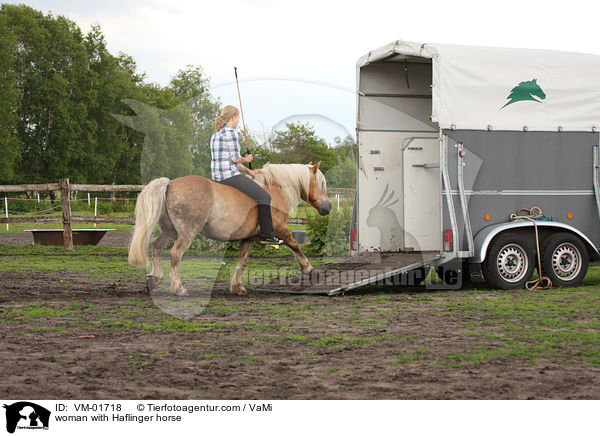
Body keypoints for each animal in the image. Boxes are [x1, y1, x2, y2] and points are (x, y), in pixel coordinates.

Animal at [128, 163, 330, 296]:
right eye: (321, 184)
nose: (328, 207)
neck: (275, 188)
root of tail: (170, 183)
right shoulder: (280, 229)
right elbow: (296, 245)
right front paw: (308, 268)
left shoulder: (248, 238)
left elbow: (243, 261)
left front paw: (237, 287)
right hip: (187, 233)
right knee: (175, 255)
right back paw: (178, 288)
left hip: (170, 231)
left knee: (155, 247)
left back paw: (155, 278)